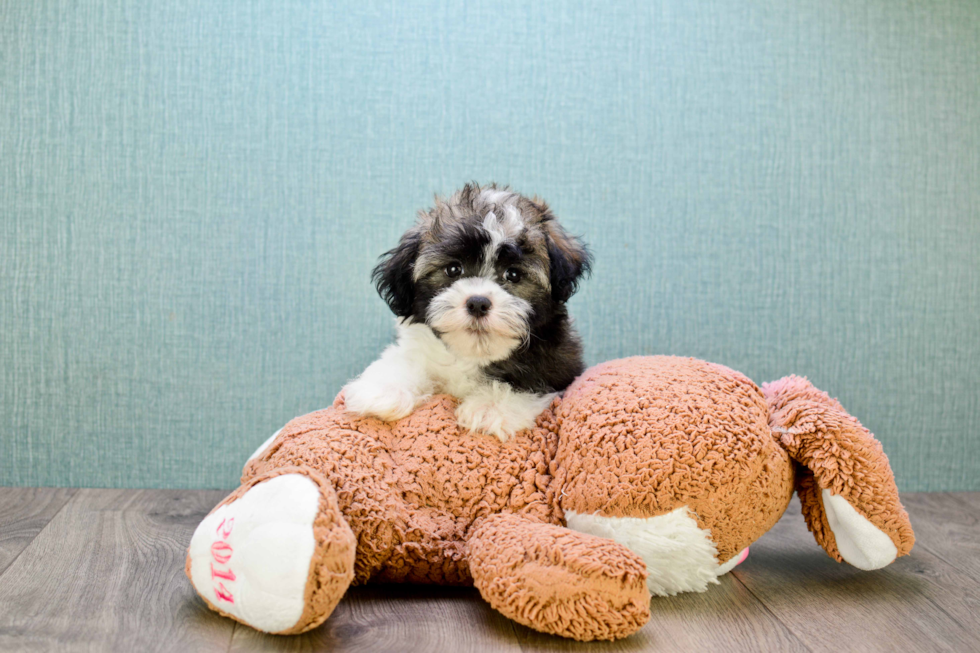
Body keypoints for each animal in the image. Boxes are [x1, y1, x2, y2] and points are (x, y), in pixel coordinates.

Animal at [344, 183, 588, 438]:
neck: (473, 354)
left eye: (513, 274)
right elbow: (406, 359)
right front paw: (385, 389)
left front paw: (491, 407)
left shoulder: (558, 364)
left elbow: (531, 381)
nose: (478, 303)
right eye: (453, 269)